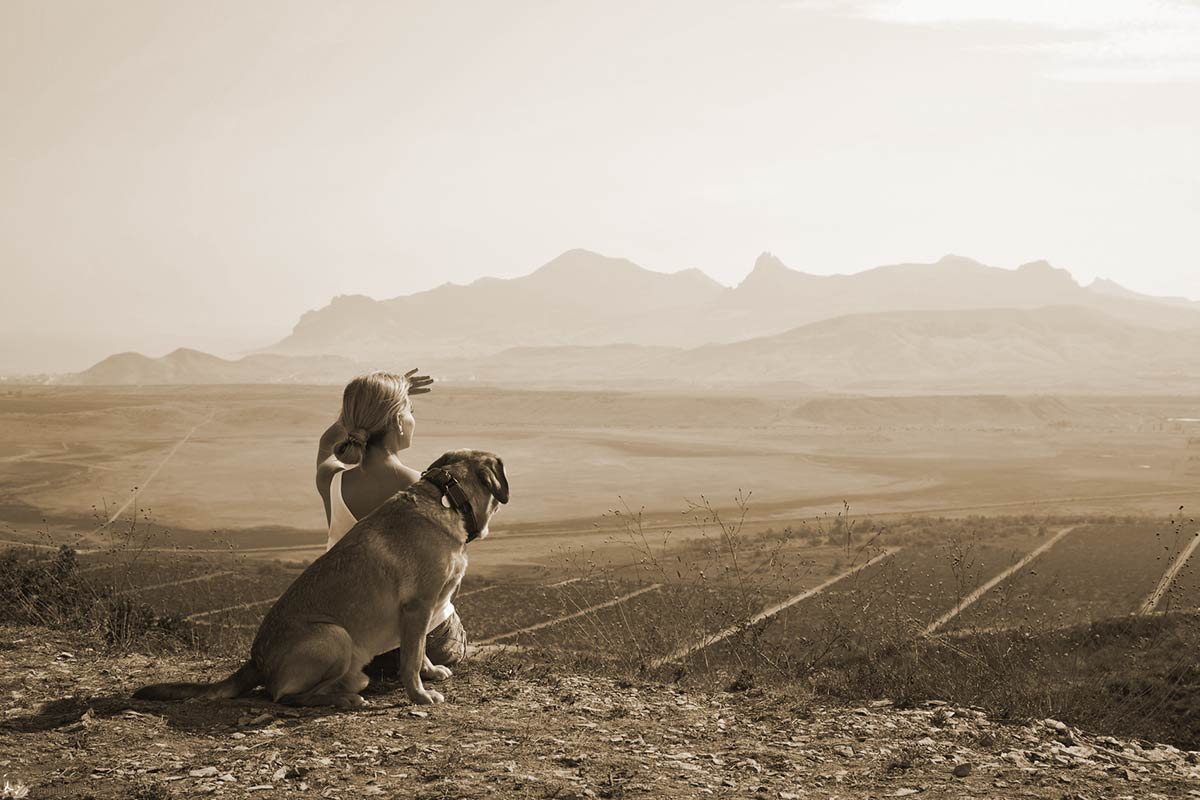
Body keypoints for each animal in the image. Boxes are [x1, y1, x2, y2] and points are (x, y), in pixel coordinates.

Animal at [133, 450, 508, 705]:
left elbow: (418, 651)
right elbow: (411, 658)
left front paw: (430, 673)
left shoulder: (422, 612)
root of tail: (256, 661)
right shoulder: (418, 606)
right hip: (333, 635)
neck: (449, 499)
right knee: (283, 696)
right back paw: (346, 698)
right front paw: (419, 694)